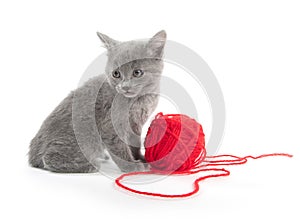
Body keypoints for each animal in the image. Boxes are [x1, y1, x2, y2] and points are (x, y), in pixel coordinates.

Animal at [28, 30, 166, 173]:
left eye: (137, 72)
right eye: (116, 74)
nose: (125, 87)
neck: (139, 100)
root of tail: (33, 155)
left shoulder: (135, 125)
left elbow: (135, 144)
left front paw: (141, 159)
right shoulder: (110, 125)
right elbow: (119, 146)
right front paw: (131, 166)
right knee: (49, 159)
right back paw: (91, 165)